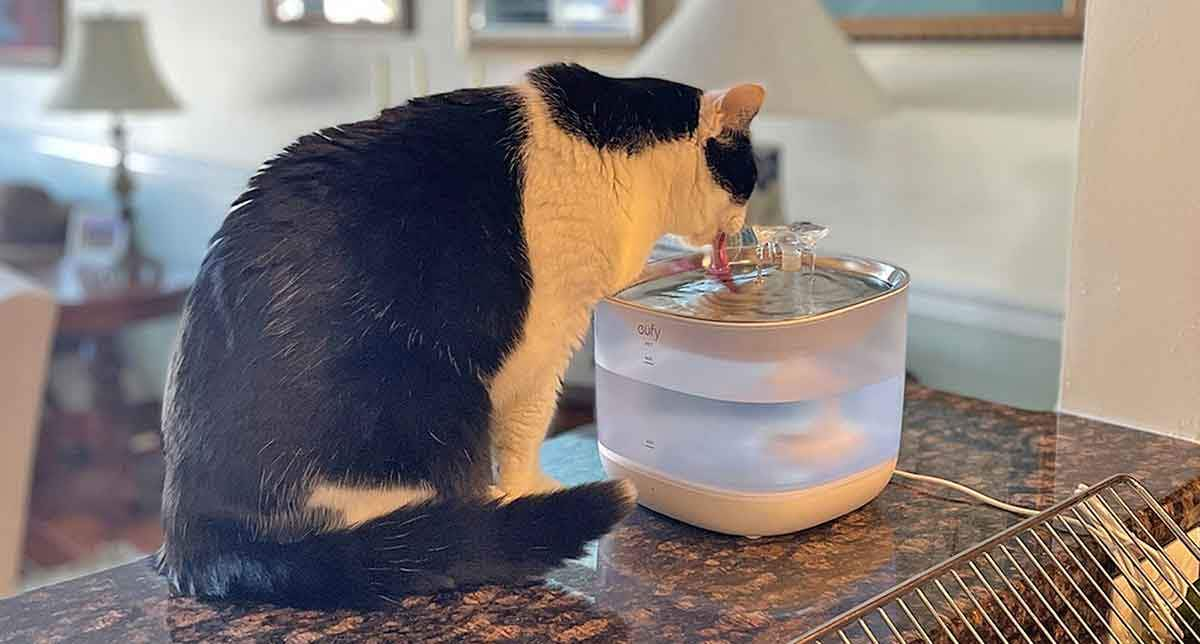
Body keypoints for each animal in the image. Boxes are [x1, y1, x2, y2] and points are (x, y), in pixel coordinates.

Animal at [157, 60, 758, 602]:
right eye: (749, 182)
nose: (744, 227)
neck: (619, 152)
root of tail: (188, 530)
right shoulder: (545, 342)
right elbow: (526, 430)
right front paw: (526, 488)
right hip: (425, 397)